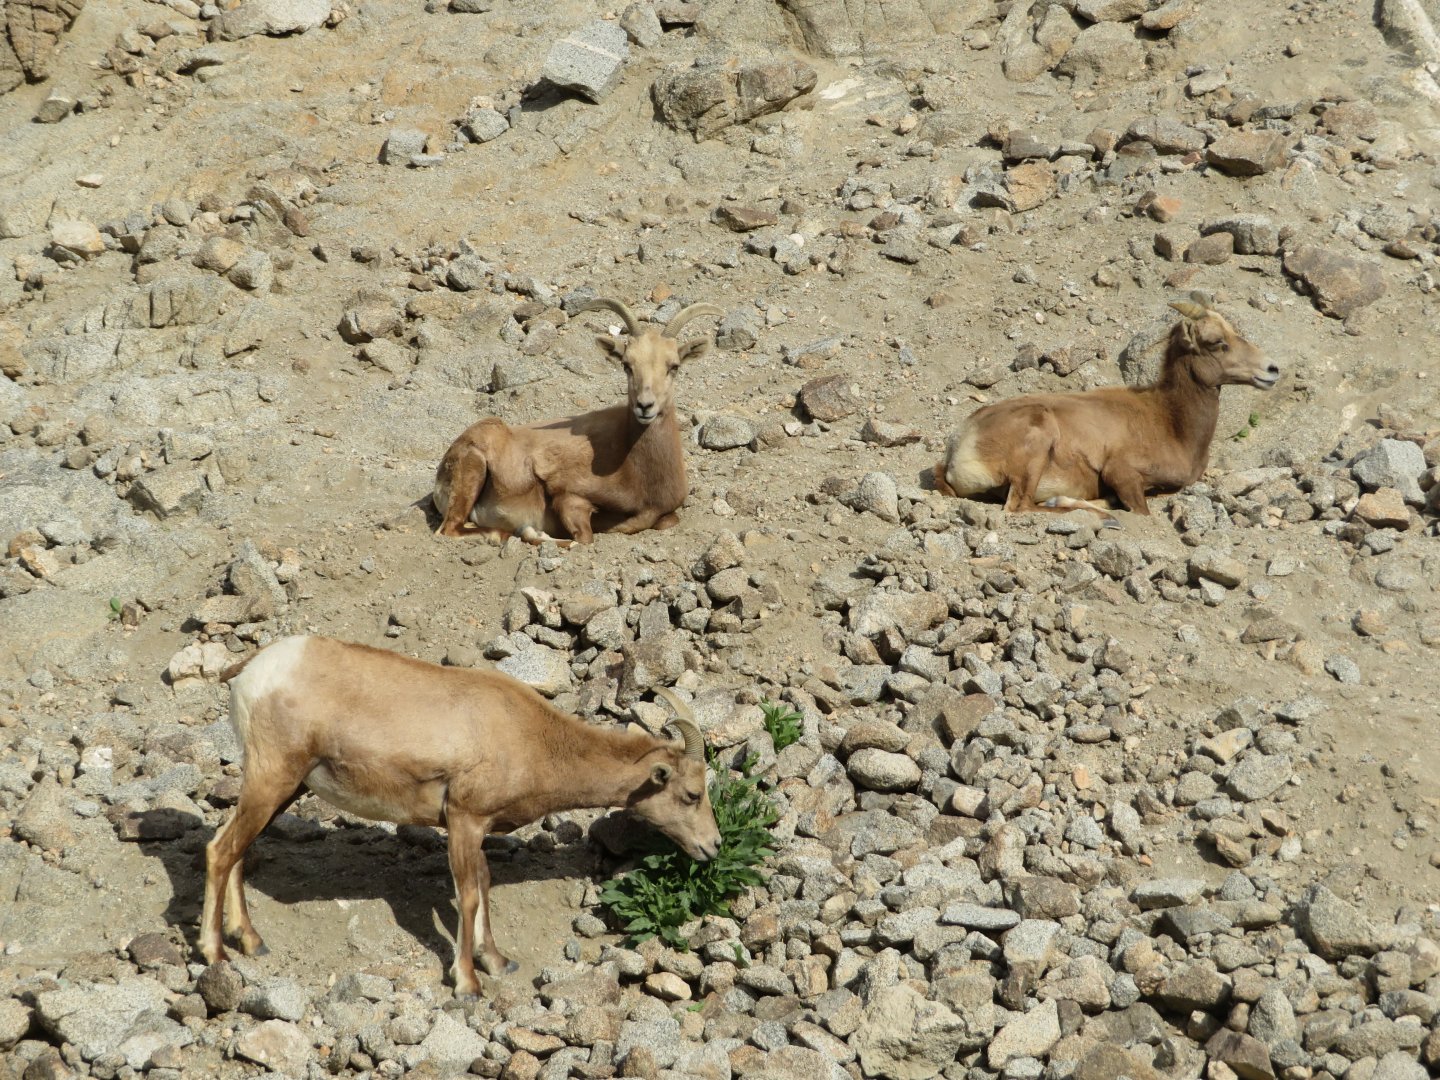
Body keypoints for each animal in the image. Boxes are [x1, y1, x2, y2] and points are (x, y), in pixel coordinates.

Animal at [198, 635, 719, 997]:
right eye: (692, 793)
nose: (711, 847)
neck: (528, 735)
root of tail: (255, 670)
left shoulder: (478, 829)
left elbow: (484, 884)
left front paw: (498, 962)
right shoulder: (464, 820)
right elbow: (467, 896)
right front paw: (468, 983)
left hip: (282, 789)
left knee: (238, 850)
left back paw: (252, 941)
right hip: (272, 778)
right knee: (221, 851)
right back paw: (216, 952)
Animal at [432, 297, 724, 544]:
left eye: (674, 366)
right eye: (627, 365)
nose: (645, 406)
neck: (635, 469)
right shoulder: (569, 497)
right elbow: (583, 538)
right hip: (473, 472)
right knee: (451, 529)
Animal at [935, 293, 1279, 528]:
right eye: (1217, 342)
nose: (1271, 369)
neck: (1171, 422)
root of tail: (958, 447)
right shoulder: (1122, 474)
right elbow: (1140, 511)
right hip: (1035, 448)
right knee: (1022, 506)